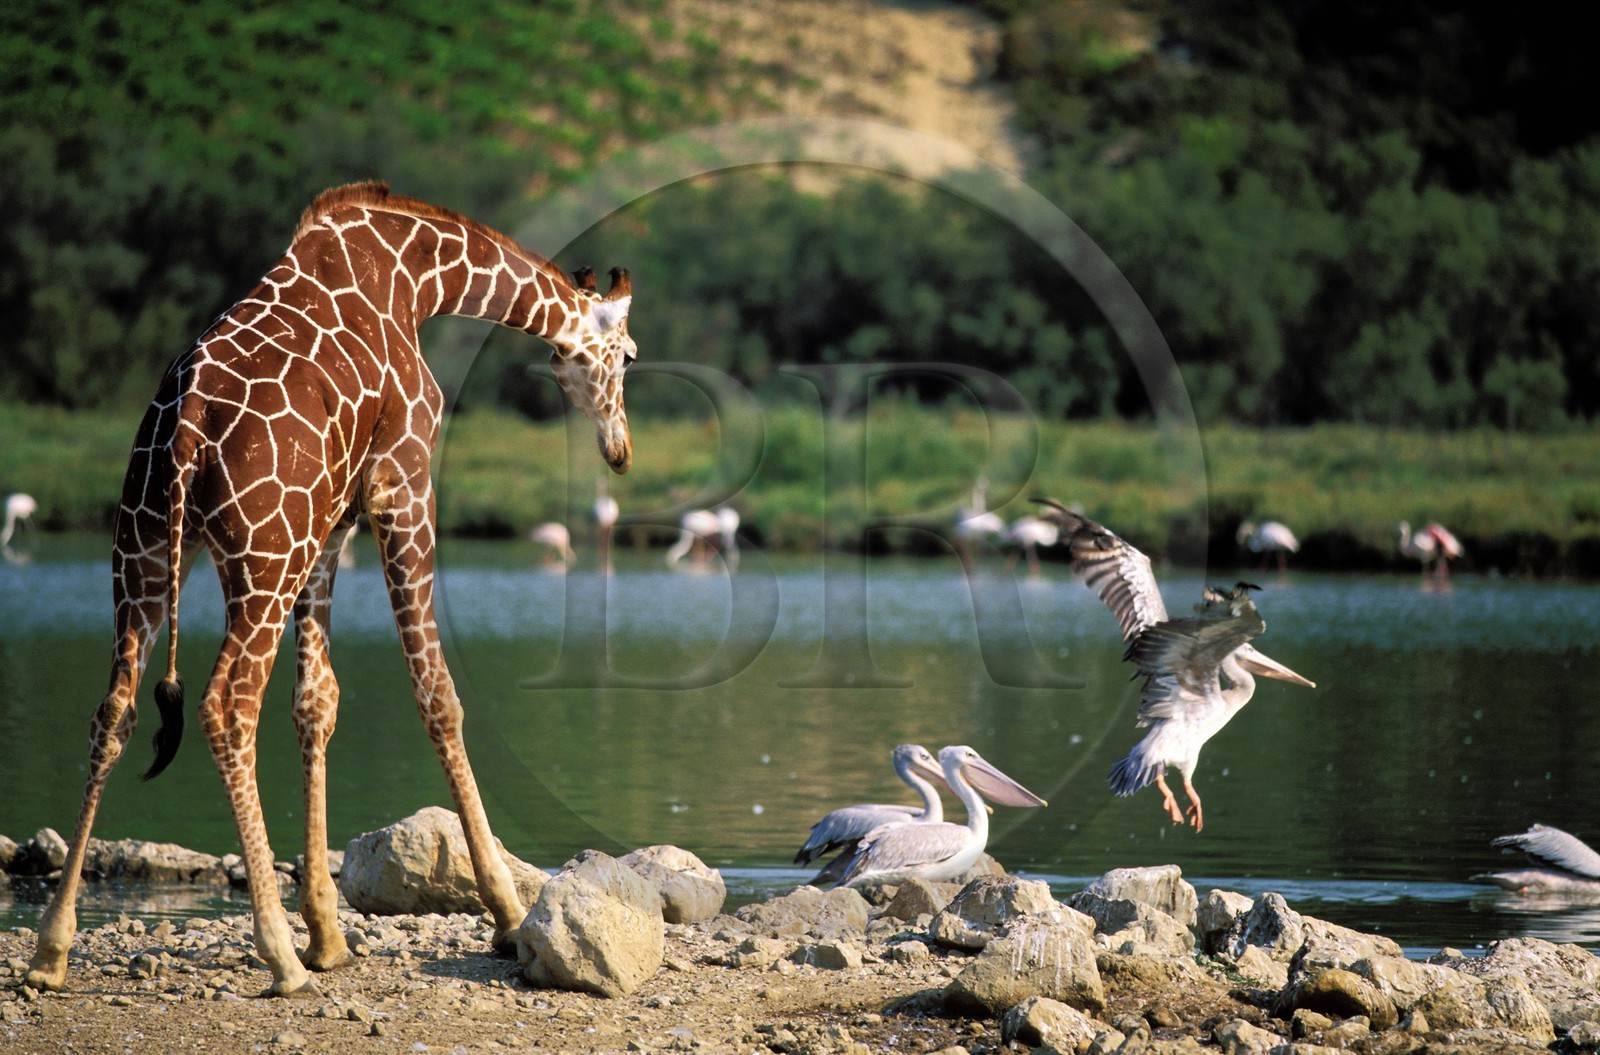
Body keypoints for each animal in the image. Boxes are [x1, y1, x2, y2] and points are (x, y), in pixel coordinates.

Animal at [24, 182, 636, 998]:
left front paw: (328, 933)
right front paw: (506, 916)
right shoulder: (402, 482)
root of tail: (185, 435)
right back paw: (278, 958)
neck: (417, 276)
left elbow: (316, 702)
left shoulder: (333, 523)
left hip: (147, 550)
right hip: (262, 557)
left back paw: (51, 950)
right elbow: (436, 694)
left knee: (114, 710)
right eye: (627, 355)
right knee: (227, 705)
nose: (620, 449)